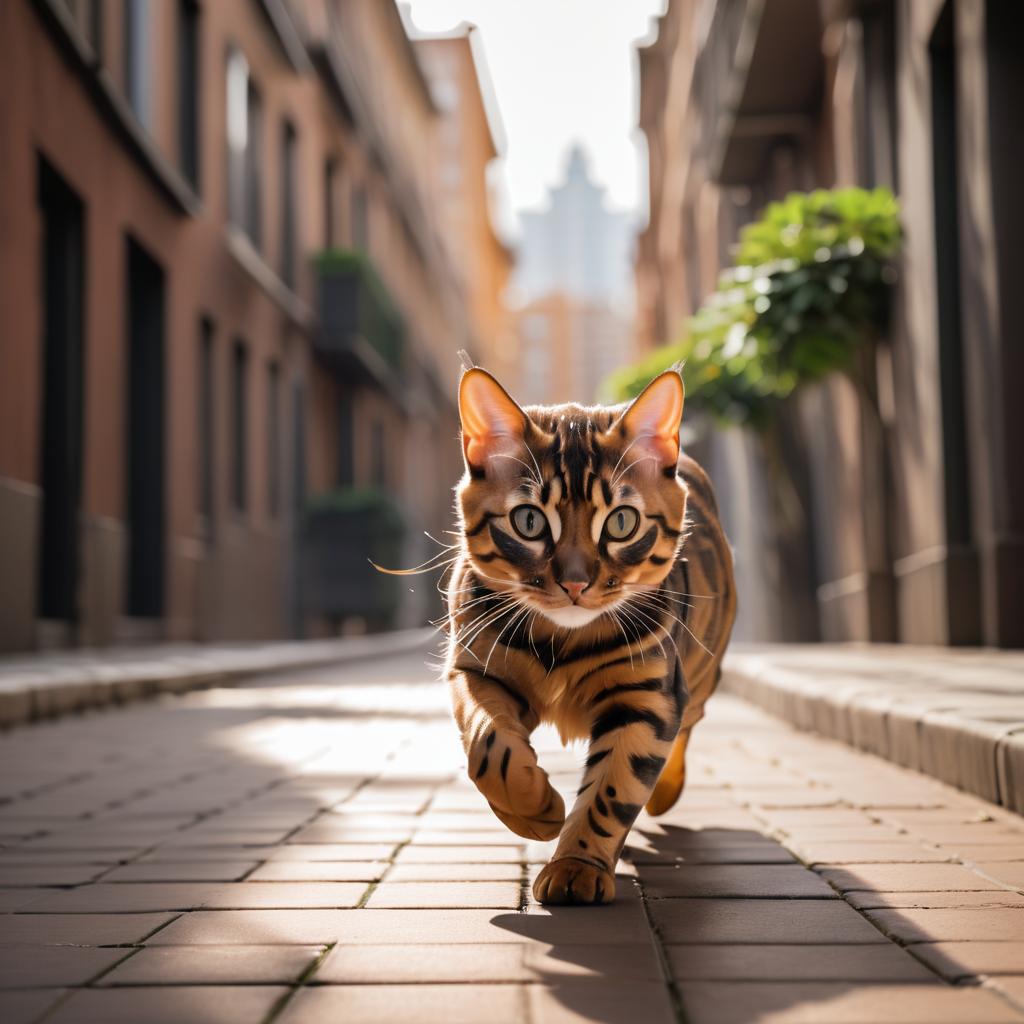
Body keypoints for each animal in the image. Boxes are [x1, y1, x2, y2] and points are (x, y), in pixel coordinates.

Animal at [444, 368, 733, 905]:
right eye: (529, 521)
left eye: (621, 522)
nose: (575, 583)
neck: (564, 642)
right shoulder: (474, 670)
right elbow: (489, 748)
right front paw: (532, 807)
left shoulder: (646, 697)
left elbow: (613, 788)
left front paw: (576, 866)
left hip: (698, 674)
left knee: (688, 722)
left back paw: (665, 792)